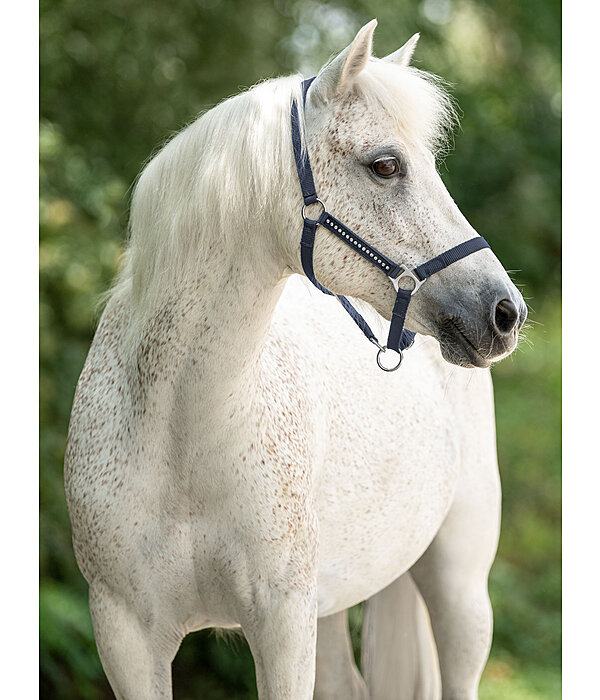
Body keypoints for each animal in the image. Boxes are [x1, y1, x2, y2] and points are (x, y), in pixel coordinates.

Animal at [64, 21, 524, 700]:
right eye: (385, 165)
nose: (504, 312)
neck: (181, 432)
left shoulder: (282, 626)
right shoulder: (126, 637)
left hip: (460, 591)